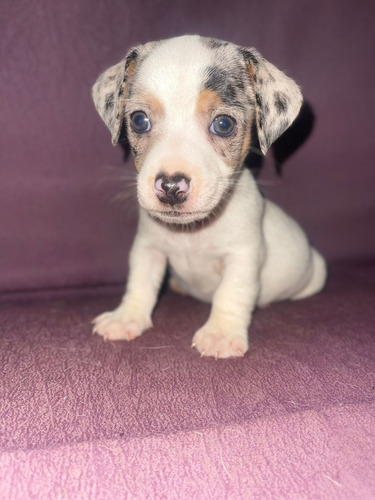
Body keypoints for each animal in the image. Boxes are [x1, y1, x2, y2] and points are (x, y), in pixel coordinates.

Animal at [92, 35, 328, 360]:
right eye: (139, 120)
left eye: (223, 125)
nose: (170, 186)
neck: (192, 233)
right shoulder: (148, 249)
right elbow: (140, 283)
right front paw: (126, 317)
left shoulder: (243, 257)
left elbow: (232, 293)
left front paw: (221, 334)